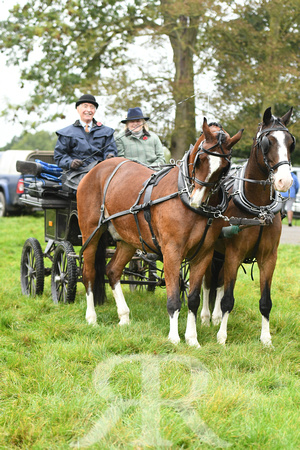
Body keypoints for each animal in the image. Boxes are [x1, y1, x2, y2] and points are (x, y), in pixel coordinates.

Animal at [77, 118, 244, 346]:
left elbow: (193, 299)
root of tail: (97, 169)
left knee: (112, 271)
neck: (183, 198)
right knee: (89, 273)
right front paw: (174, 338)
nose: (196, 199)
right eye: (200, 159)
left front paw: (192, 339)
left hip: (128, 240)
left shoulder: (204, 254)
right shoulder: (172, 252)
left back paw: (124, 316)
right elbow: (173, 298)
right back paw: (91, 317)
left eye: (225, 167)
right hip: (90, 234)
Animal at [202, 107, 296, 346]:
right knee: (207, 283)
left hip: (220, 253)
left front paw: (266, 339)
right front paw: (222, 337)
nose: (284, 181)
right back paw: (206, 317)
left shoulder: (269, 257)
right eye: (267, 142)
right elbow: (227, 298)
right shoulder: (234, 254)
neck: (259, 208)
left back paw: (215, 317)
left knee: (218, 282)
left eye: (291, 142)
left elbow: (265, 300)